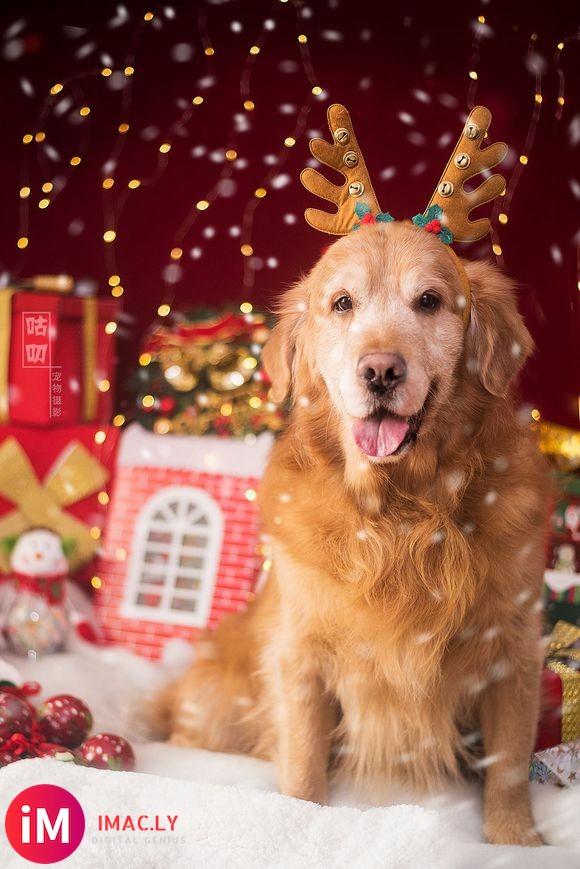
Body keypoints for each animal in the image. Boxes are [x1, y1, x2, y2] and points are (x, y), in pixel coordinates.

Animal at [157, 219, 548, 848]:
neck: (403, 513)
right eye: (342, 303)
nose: (381, 370)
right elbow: (302, 762)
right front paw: (300, 822)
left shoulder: (514, 649)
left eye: (429, 301)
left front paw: (518, 841)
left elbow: (509, 765)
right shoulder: (300, 657)